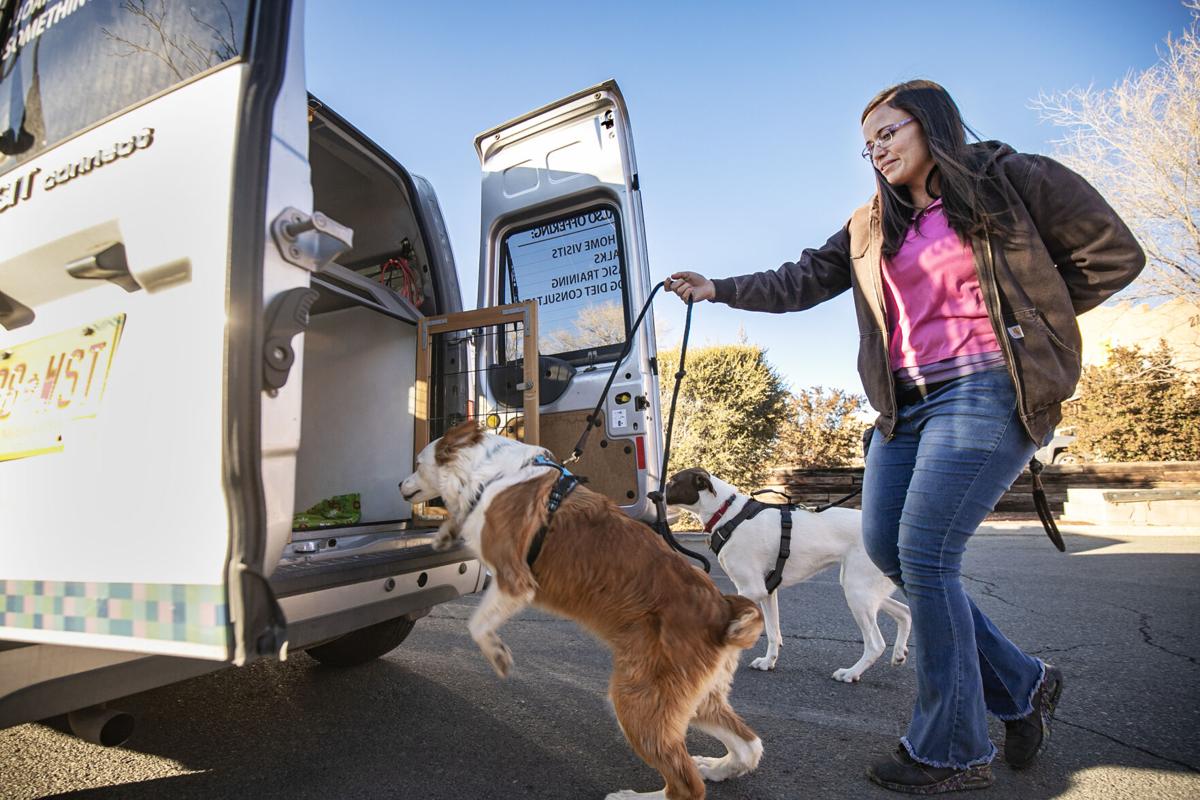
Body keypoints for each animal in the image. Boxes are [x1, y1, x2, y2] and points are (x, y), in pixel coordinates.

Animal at [399, 422, 765, 800]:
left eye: (417, 464)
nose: (399, 485)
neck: (491, 474)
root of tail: (722, 608)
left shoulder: (514, 579)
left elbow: (476, 624)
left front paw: (498, 656)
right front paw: (443, 534)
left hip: (638, 699)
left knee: (686, 786)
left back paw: (632, 797)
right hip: (697, 701)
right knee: (750, 745)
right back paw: (719, 768)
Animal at [665, 468, 911, 683]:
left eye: (673, 481)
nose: (656, 494)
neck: (727, 513)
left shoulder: (750, 589)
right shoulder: (766, 591)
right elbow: (773, 632)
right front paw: (768, 662)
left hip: (857, 592)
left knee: (876, 644)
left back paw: (851, 673)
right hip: (865, 591)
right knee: (905, 612)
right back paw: (899, 653)